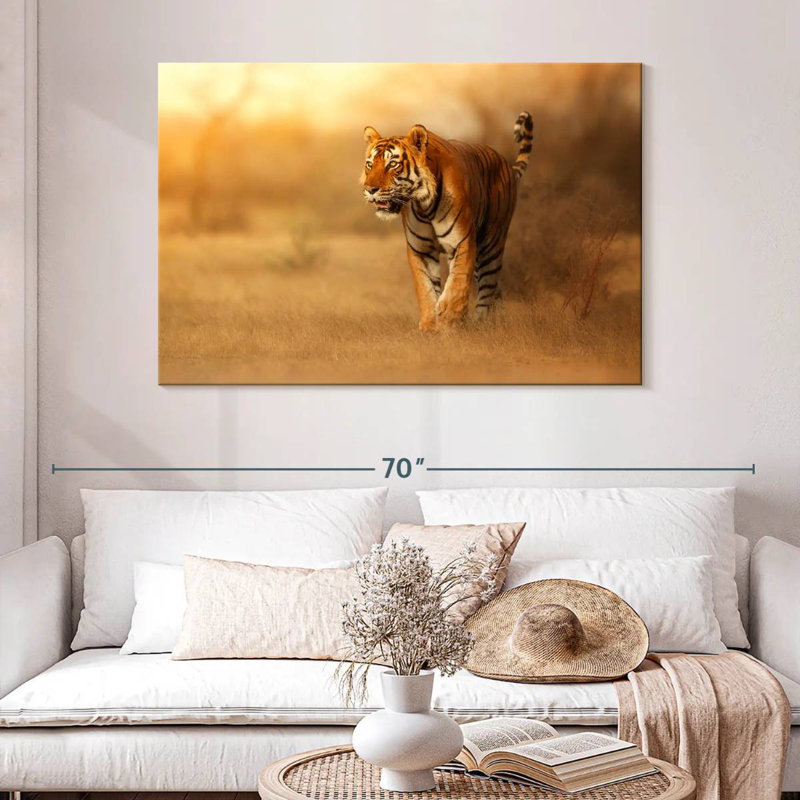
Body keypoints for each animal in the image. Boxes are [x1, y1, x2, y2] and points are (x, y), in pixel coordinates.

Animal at [361, 112, 533, 331]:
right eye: (370, 164)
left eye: (392, 164)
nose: (370, 189)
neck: (424, 205)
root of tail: (506, 164)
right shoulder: (421, 249)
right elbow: (425, 288)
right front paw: (429, 325)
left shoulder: (462, 241)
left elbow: (457, 282)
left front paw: (449, 318)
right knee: (495, 290)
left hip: (491, 245)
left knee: (487, 288)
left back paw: (482, 324)